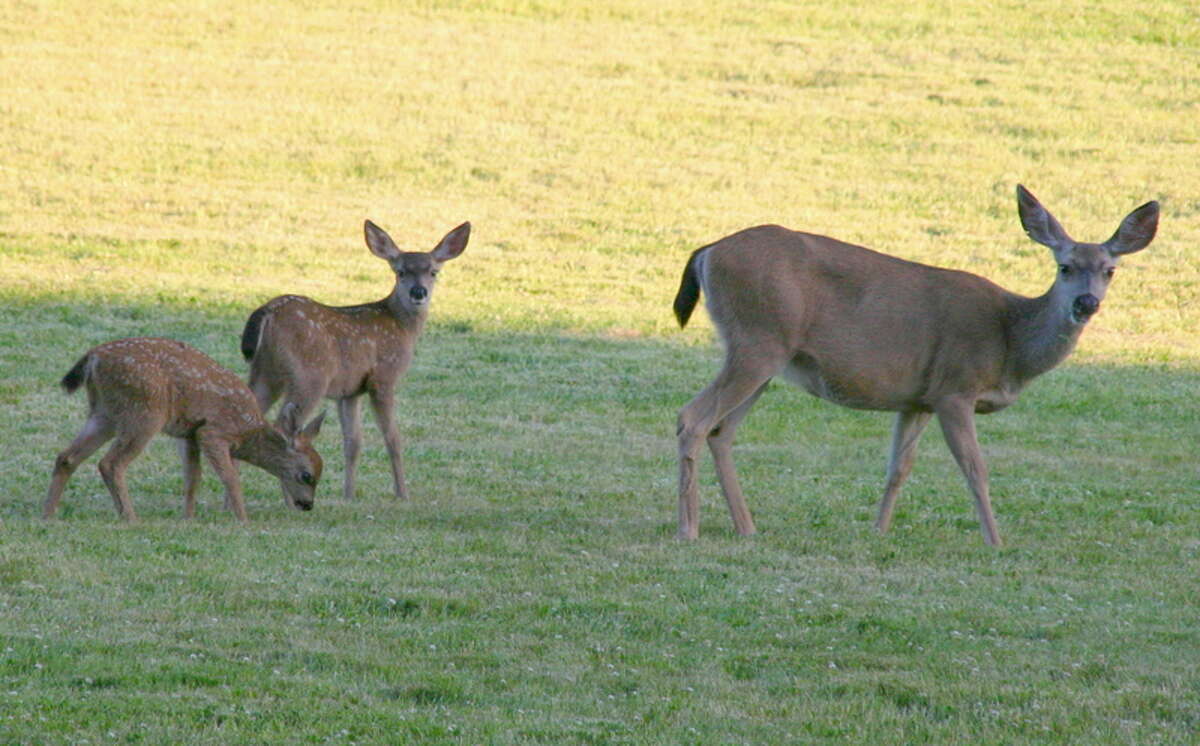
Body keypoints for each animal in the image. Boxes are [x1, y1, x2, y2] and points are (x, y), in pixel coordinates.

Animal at [45, 340, 326, 525]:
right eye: (306, 475)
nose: (307, 505)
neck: (247, 431)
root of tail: (93, 357)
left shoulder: (190, 434)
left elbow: (193, 478)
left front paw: (188, 519)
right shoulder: (212, 432)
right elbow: (231, 477)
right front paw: (243, 521)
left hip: (105, 413)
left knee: (67, 457)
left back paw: (48, 513)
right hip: (145, 412)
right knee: (110, 463)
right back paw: (131, 518)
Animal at [240, 220, 468, 503]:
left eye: (434, 272)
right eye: (400, 271)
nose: (419, 292)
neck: (402, 326)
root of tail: (267, 312)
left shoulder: (349, 391)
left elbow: (353, 442)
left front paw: (348, 495)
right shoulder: (383, 377)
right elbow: (392, 437)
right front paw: (402, 494)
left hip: (265, 371)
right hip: (309, 375)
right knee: (284, 426)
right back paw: (288, 496)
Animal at [672, 184, 1156, 546]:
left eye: (1110, 270)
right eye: (1064, 266)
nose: (1086, 303)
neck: (1009, 341)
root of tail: (708, 251)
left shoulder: (918, 399)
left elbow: (898, 469)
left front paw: (879, 531)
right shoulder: (955, 387)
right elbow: (975, 468)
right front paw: (995, 541)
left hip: (765, 354)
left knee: (721, 431)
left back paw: (746, 527)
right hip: (758, 340)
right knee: (692, 418)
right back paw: (689, 529)